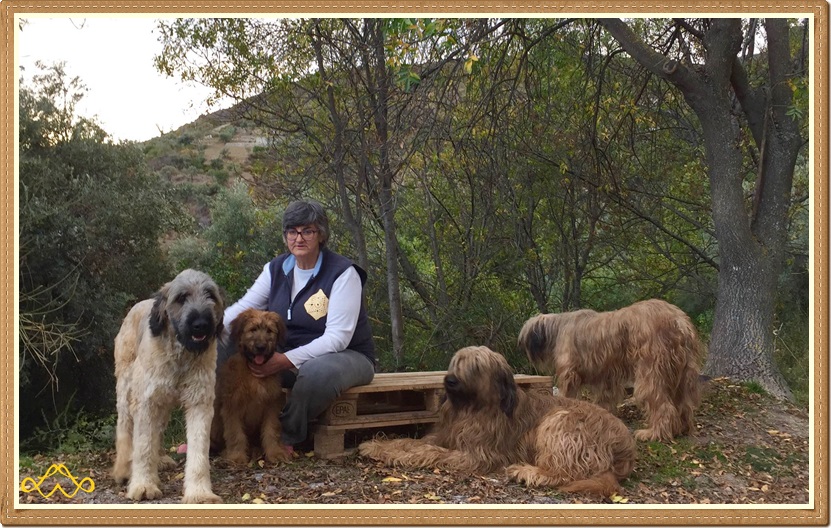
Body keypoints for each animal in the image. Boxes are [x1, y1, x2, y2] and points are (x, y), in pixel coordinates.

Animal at [114, 268, 226, 504]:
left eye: (210, 295)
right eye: (181, 297)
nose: (201, 324)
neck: (180, 355)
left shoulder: (199, 403)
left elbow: (199, 450)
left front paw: (199, 492)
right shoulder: (146, 402)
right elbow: (143, 446)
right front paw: (143, 485)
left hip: (163, 404)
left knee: (157, 430)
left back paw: (160, 459)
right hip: (127, 391)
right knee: (124, 427)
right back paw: (123, 469)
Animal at [211, 308, 292, 464]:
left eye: (269, 331)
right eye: (253, 329)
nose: (261, 347)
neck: (253, 373)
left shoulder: (271, 404)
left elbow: (271, 430)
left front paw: (275, 453)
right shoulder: (232, 406)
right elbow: (235, 433)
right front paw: (237, 456)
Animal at [358, 346, 636, 496]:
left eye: (476, 367)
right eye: (456, 362)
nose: (450, 381)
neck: (472, 408)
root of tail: (625, 448)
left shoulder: (475, 454)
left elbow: (429, 451)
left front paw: (394, 454)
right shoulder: (444, 436)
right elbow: (412, 442)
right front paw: (378, 446)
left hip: (560, 422)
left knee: (564, 472)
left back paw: (526, 471)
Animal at [520, 300, 704, 444]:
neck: (559, 326)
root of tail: (679, 321)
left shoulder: (569, 372)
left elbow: (567, 393)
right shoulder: (606, 376)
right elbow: (605, 398)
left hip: (651, 371)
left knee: (663, 405)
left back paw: (653, 433)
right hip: (681, 372)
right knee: (683, 404)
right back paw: (682, 428)